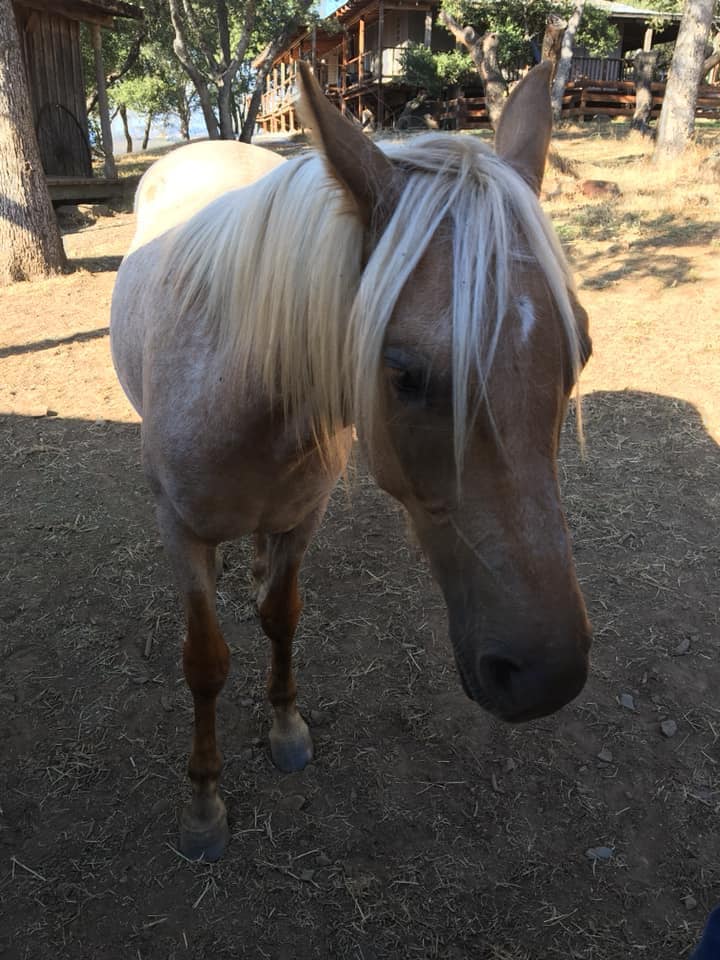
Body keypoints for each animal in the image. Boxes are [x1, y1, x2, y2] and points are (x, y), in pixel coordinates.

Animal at [111, 60, 592, 860]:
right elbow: (205, 662)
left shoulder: (304, 516)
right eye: (401, 372)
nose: (548, 676)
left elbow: (281, 618)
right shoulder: (178, 533)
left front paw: (285, 726)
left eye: (578, 351)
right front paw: (204, 800)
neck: (241, 390)